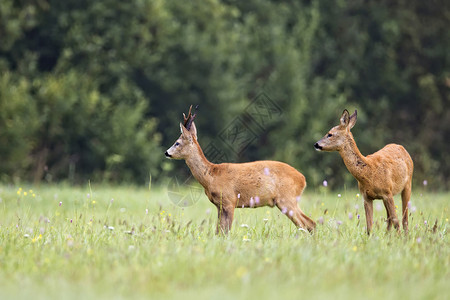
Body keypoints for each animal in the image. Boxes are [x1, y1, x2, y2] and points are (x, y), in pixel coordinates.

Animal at [165, 105, 316, 234]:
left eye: (177, 143)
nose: (166, 153)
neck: (211, 176)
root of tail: (303, 179)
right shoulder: (219, 205)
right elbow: (218, 231)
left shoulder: (229, 200)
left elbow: (225, 232)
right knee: (309, 224)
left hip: (287, 199)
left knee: (308, 224)